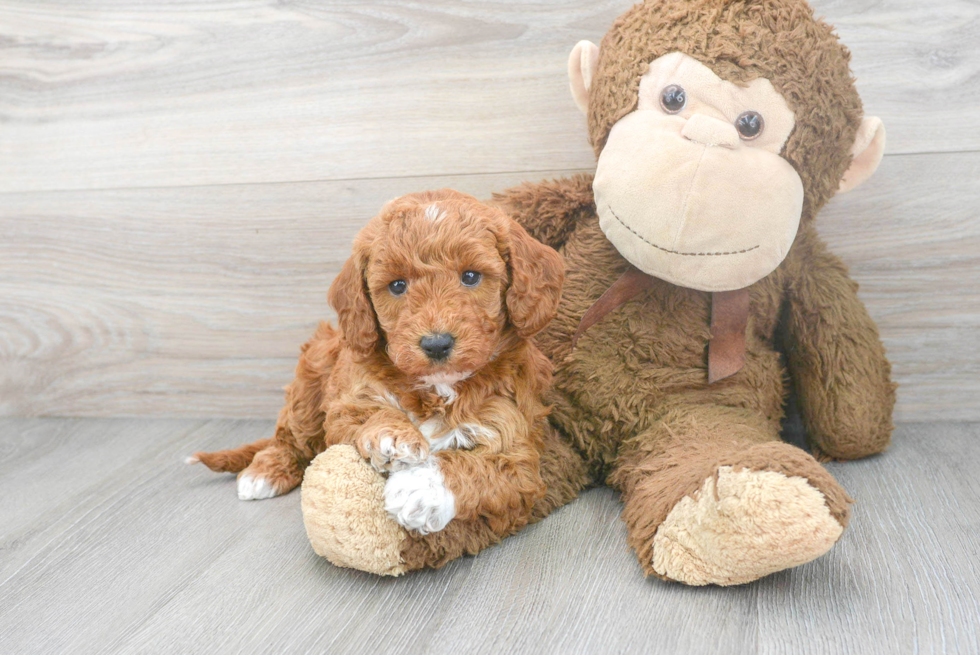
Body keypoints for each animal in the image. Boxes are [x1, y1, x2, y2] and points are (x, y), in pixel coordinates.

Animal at [188, 190, 564, 540]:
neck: (438, 387)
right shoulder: (345, 404)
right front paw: (392, 436)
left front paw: (419, 489)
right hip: (312, 375)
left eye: (471, 276)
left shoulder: (518, 452)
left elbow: (479, 466)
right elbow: (370, 413)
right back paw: (263, 472)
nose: (436, 343)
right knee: (291, 436)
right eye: (397, 285)